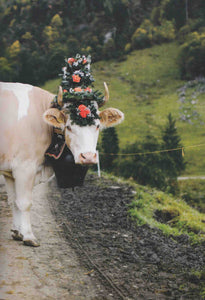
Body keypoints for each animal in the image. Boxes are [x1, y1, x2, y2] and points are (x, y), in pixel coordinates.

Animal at [0, 81, 124, 246]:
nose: (88, 157)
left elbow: (13, 201)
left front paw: (16, 232)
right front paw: (28, 236)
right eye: (69, 126)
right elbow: (24, 202)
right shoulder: (24, 166)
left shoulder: (9, 171)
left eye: (97, 125)